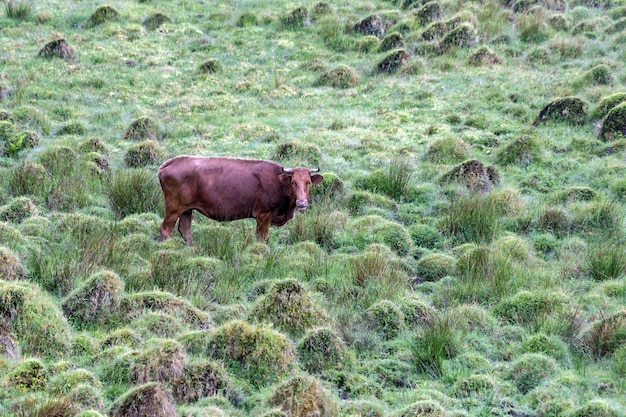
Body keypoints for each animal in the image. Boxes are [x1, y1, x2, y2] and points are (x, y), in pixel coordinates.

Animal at [157, 155, 322, 240]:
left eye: (308, 182)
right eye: (293, 182)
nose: (302, 202)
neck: (278, 183)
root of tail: (172, 162)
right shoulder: (263, 216)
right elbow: (262, 239)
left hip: (187, 209)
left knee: (185, 230)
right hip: (173, 209)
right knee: (166, 229)